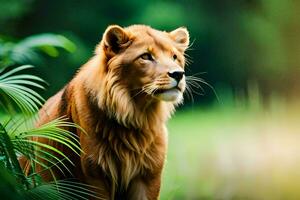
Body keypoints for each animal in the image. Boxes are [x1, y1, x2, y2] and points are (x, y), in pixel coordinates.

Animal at [28, 24, 189, 199]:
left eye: (174, 57)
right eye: (146, 56)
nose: (178, 74)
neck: (137, 115)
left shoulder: (148, 175)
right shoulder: (95, 175)